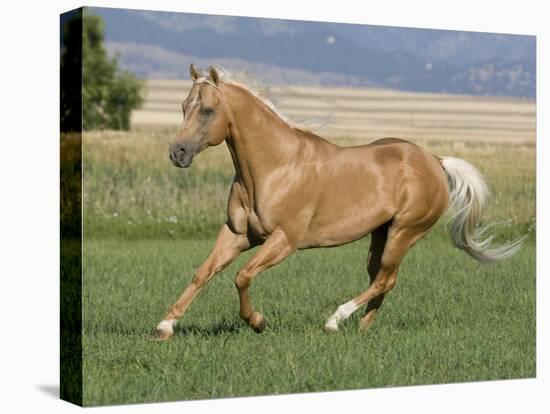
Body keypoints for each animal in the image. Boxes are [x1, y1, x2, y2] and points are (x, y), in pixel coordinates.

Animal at [156, 63, 528, 338]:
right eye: (183, 107)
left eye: (208, 110)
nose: (178, 153)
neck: (275, 166)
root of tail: (435, 161)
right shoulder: (238, 234)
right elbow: (203, 273)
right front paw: (165, 325)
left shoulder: (284, 240)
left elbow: (242, 276)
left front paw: (257, 322)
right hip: (382, 233)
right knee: (382, 279)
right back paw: (362, 327)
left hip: (405, 232)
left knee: (384, 278)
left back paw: (335, 321)